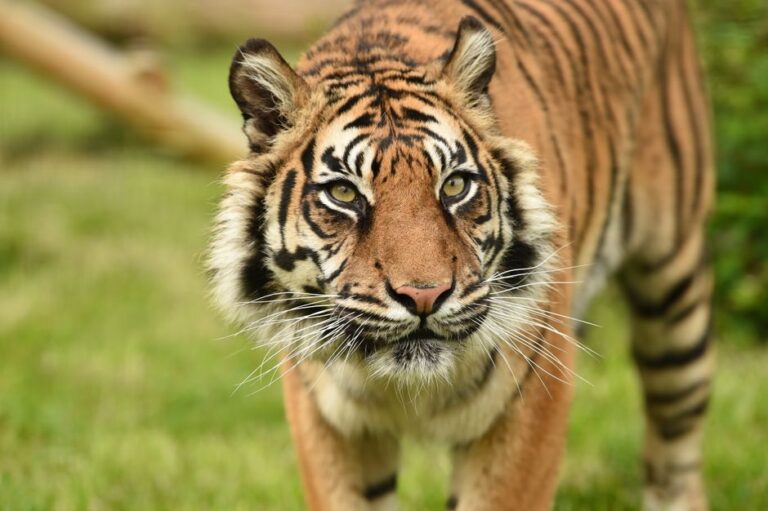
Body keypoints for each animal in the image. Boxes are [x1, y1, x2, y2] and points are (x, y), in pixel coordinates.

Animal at [208, 0, 714, 509]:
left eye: (454, 186)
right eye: (344, 194)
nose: (424, 297)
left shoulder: (532, 397)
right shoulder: (324, 416)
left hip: (674, 299)